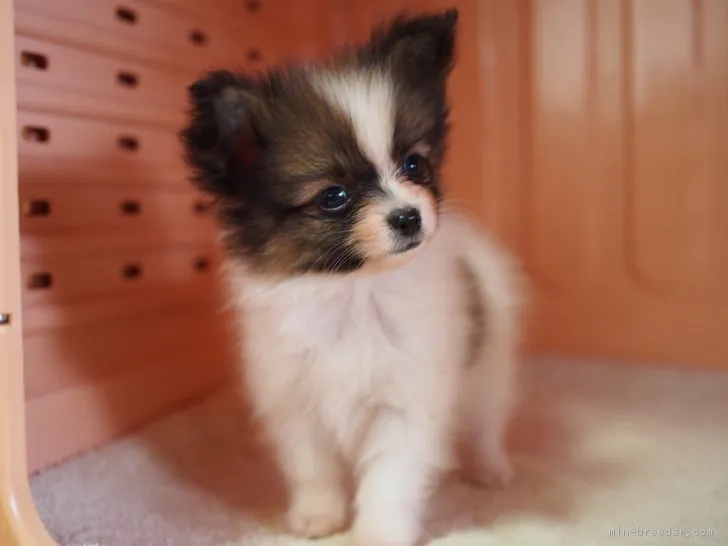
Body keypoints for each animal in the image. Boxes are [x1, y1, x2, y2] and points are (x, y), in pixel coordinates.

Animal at [181, 8, 524, 544]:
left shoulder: (405, 401)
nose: (409, 217)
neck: (353, 290)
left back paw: (491, 469)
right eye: (333, 196)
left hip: (489, 365)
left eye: (414, 165)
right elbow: (311, 465)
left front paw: (376, 531)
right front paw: (317, 516)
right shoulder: (293, 398)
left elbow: (390, 477)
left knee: (486, 422)